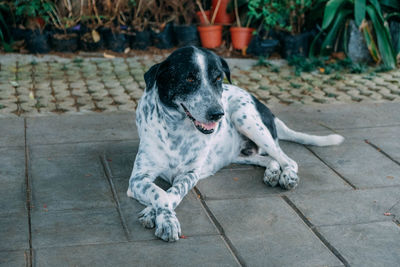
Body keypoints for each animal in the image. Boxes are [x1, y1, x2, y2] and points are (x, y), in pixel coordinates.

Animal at [127, 46, 344, 243]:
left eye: (218, 79)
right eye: (189, 79)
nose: (217, 114)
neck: (177, 131)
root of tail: (265, 108)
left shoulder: (190, 174)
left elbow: (172, 193)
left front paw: (156, 215)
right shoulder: (138, 178)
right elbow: (160, 193)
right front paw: (163, 218)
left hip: (244, 117)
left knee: (288, 160)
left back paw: (287, 175)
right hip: (241, 154)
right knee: (269, 159)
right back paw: (272, 172)